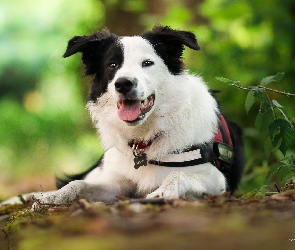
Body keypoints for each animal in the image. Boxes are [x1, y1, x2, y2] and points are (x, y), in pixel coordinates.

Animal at [1, 25, 245, 207]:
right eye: (112, 65)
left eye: (147, 63)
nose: (123, 83)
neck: (144, 139)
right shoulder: (118, 181)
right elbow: (77, 184)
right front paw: (53, 197)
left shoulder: (216, 179)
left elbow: (176, 175)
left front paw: (159, 194)